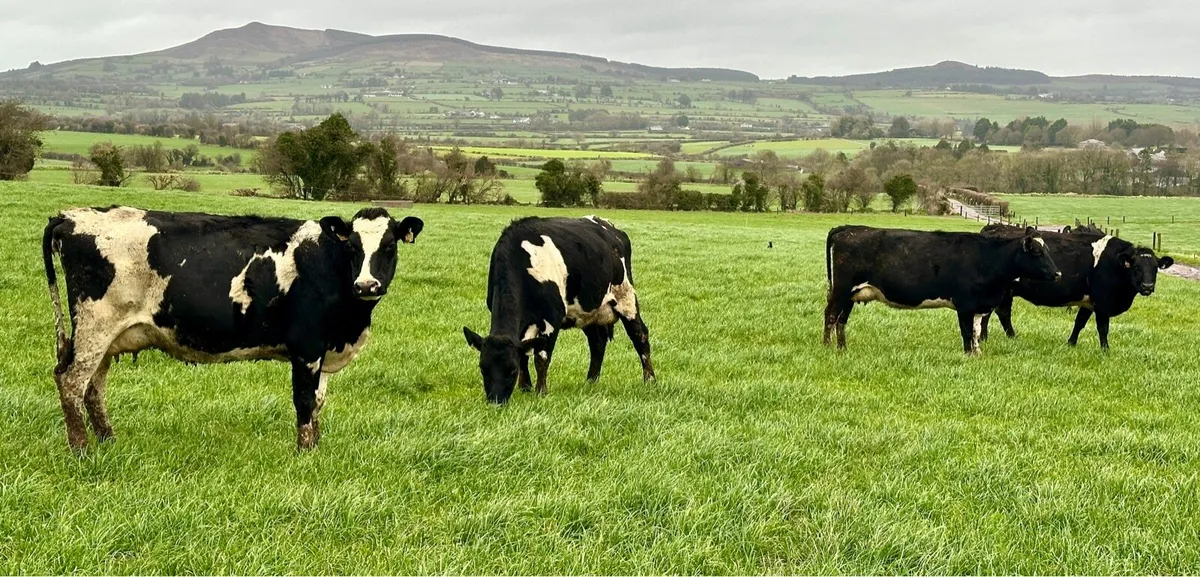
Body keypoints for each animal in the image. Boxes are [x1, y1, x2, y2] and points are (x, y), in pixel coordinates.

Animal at [42, 205, 424, 451]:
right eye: (353, 246)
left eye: (389, 246)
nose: (367, 285)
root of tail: (71, 216)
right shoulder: (307, 346)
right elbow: (303, 401)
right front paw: (305, 453)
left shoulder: (325, 349)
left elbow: (318, 401)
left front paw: (316, 446)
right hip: (94, 326)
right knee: (71, 381)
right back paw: (81, 449)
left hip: (107, 337)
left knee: (93, 387)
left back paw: (108, 440)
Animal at [462, 216, 654, 404]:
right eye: (482, 369)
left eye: (512, 370)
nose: (496, 401)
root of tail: (612, 229)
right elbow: (524, 354)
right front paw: (525, 388)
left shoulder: (552, 318)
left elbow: (541, 357)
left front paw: (540, 392)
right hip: (588, 311)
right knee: (597, 342)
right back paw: (590, 382)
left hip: (626, 297)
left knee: (640, 336)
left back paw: (650, 380)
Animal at [824, 225, 1060, 354]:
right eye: (1037, 252)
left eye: (1048, 250)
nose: (1058, 273)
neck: (987, 258)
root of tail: (847, 228)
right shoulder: (965, 305)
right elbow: (967, 332)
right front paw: (968, 355)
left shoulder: (979, 306)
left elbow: (975, 332)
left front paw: (978, 354)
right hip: (841, 290)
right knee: (831, 315)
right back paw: (826, 347)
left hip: (851, 294)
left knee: (842, 320)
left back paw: (842, 348)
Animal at [978, 223, 1172, 348]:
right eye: (1136, 267)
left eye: (1155, 268)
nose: (1147, 286)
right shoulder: (1103, 302)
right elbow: (1103, 328)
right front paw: (1105, 350)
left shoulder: (1088, 301)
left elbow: (1079, 322)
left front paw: (1071, 343)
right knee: (993, 313)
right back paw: (986, 338)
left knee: (1001, 313)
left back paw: (1007, 337)